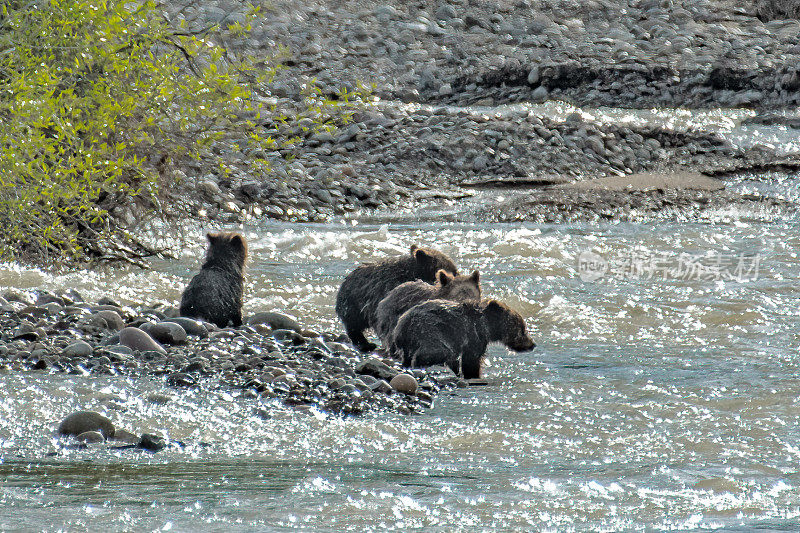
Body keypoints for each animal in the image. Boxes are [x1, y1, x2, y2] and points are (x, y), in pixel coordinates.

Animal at [390, 300, 536, 378]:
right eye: (522, 329)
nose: (532, 344)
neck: (487, 327)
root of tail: (403, 324)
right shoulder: (473, 336)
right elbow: (471, 360)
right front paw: (473, 375)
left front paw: (459, 373)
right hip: (428, 331)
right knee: (437, 352)